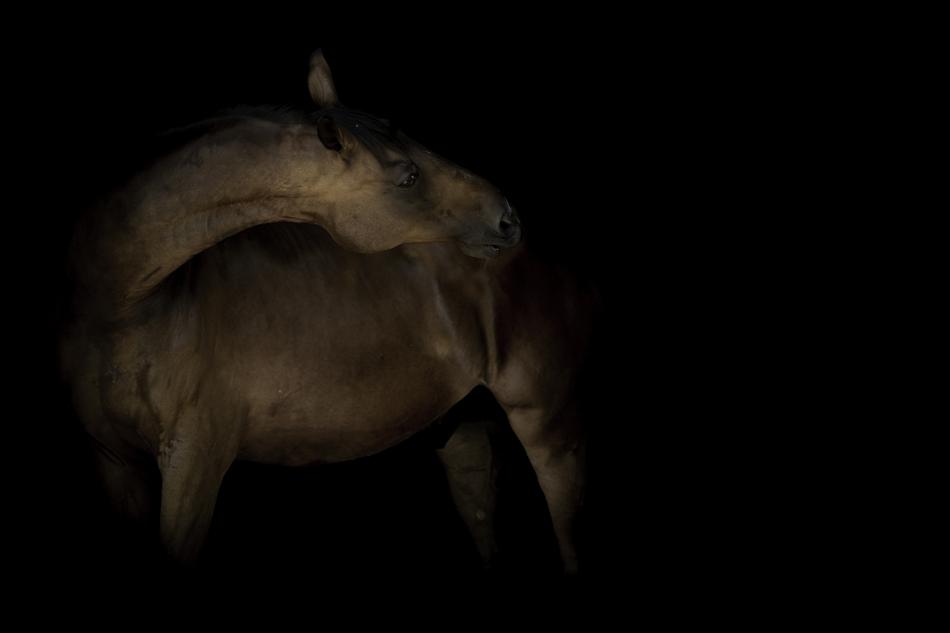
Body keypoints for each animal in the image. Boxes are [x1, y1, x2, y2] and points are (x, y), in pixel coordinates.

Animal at [60, 51, 596, 572]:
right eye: (408, 176)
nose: (507, 218)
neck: (124, 307)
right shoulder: (116, 464)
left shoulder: (195, 461)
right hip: (465, 436)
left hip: (551, 431)